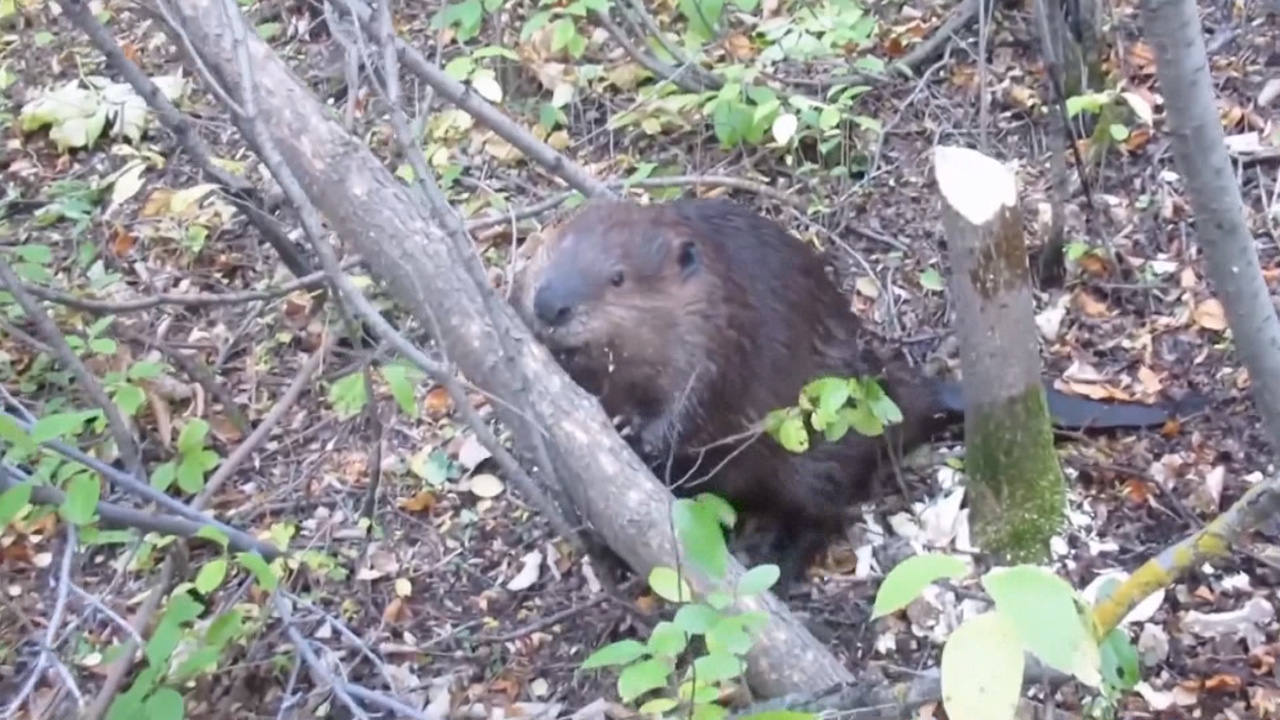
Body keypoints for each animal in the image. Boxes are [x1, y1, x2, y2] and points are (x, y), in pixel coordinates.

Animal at [509, 194, 1198, 584]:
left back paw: (774, 561)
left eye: (617, 277)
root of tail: (911, 395)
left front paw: (641, 435)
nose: (548, 305)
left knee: (824, 512)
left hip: (818, 455)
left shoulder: (725, 332)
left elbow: (698, 402)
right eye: (545, 250)